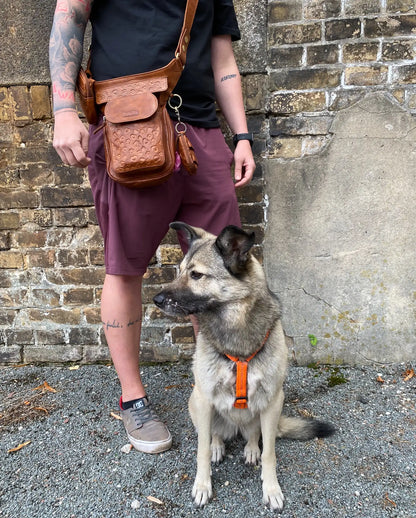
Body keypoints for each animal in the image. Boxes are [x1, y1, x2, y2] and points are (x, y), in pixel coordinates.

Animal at [153, 223, 334, 512]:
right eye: (178, 271)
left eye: (196, 275)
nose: (156, 299)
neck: (236, 329)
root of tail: (235, 428)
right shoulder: (204, 399)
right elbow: (201, 450)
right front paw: (202, 485)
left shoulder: (272, 401)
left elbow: (270, 452)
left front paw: (271, 488)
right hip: (195, 404)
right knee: (213, 435)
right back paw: (218, 445)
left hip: (262, 413)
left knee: (253, 435)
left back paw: (250, 448)